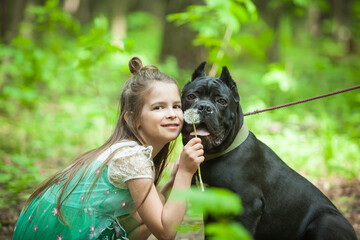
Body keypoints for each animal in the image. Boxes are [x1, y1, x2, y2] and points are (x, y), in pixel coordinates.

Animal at [181, 62, 356, 240]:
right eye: (191, 97)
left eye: (221, 101)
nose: (204, 107)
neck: (220, 153)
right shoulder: (211, 203)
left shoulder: (247, 206)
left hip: (326, 220)